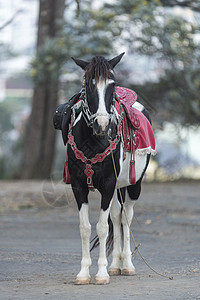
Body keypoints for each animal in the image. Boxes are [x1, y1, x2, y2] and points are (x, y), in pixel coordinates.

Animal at [61, 52, 155, 284]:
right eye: (88, 84)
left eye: (112, 84)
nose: (102, 125)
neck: (93, 142)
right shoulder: (79, 186)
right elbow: (86, 228)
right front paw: (84, 273)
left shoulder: (107, 184)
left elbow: (102, 227)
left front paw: (101, 273)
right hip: (116, 189)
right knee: (116, 215)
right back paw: (115, 265)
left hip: (133, 185)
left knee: (126, 217)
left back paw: (127, 265)